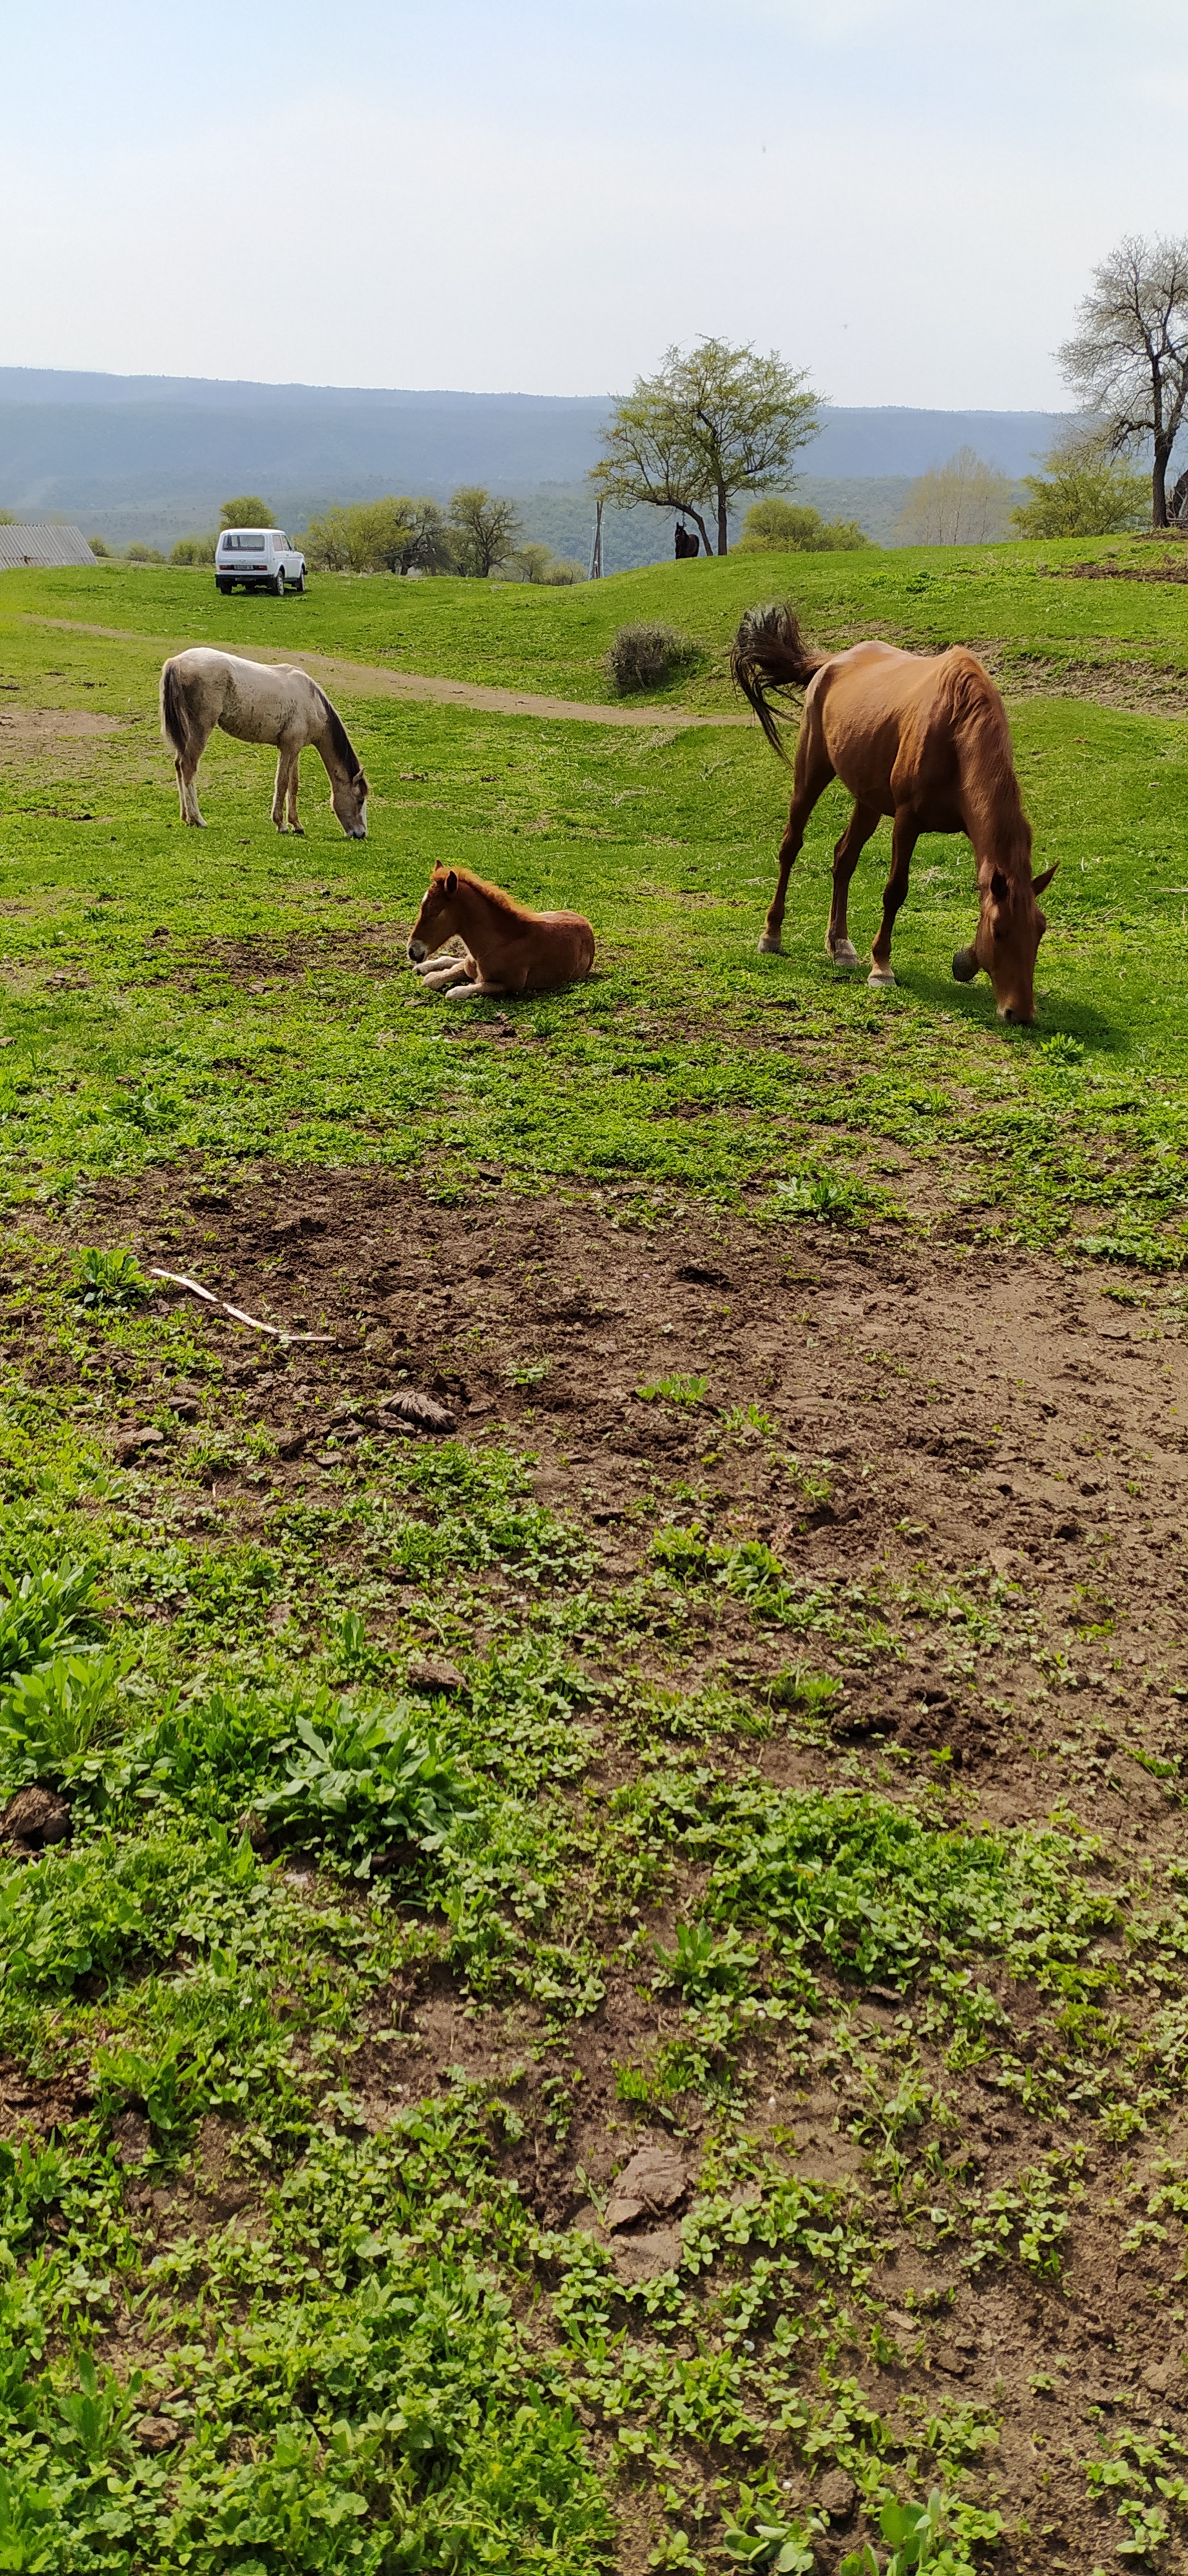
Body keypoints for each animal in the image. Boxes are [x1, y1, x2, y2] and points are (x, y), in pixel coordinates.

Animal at [158, 649, 366, 840]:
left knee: (179, 765)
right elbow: (282, 783)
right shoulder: (288, 748)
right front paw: (281, 824)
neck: (312, 701)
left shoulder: (295, 748)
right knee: (188, 767)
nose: (361, 833)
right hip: (200, 728)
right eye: (360, 799)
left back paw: (186, 818)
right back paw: (198, 819)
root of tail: (176, 662)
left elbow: (293, 784)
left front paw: (297, 825)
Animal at [405, 855, 593, 994]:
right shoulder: (469, 966)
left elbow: (454, 991)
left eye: (433, 912)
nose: (412, 951)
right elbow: (433, 979)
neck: (497, 945)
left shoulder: (509, 985)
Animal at [732, 603, 1057, 1015]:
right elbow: (895, 891)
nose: (1021, 1014)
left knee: (844, 858)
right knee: (791, 846)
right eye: (999, 932)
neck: (956, 727)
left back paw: (840, 945)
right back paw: (772, 934)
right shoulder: (907, 821)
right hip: (810, 774)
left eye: (1040, 930)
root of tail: (832, 660)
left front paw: (965, 959)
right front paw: (882, 968)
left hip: (868, 801)